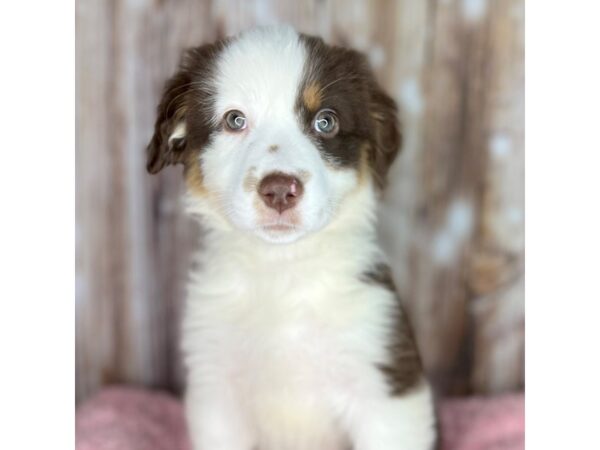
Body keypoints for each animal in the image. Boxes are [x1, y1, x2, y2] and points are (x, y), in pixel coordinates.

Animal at [145, 26, 436, 450]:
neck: (282, 269)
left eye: (325, 122)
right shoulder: (217, 389)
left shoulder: (386, 385)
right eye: (234, 120)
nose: (280, 190)